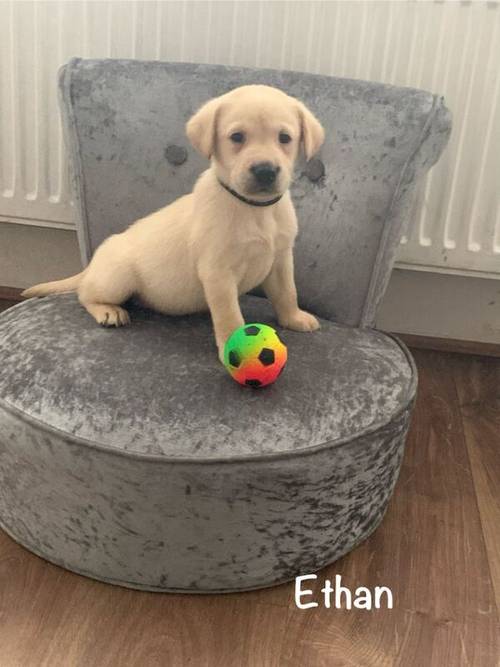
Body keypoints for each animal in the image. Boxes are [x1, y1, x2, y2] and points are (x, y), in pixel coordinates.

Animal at [21, 87, 322, 366]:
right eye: (237, 137)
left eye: (285, 138)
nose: (265, 171)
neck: (254, 209)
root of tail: (92, 266)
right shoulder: (218, 273)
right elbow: (229, 315)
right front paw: (233, 349)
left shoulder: (281, 260)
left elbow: (287, 292)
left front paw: (294, 318)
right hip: (117, 278)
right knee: (84, 294)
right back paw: (107, 311)